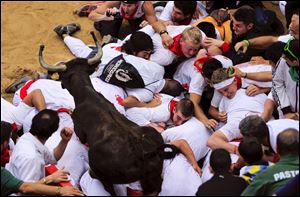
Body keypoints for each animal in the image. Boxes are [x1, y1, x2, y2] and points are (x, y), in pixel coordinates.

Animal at [37, 32, 178, 194]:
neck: (86, 93)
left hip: (105, 176)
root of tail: (143, 154)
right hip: (152, 178)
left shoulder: (80, 131)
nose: (61, 84)